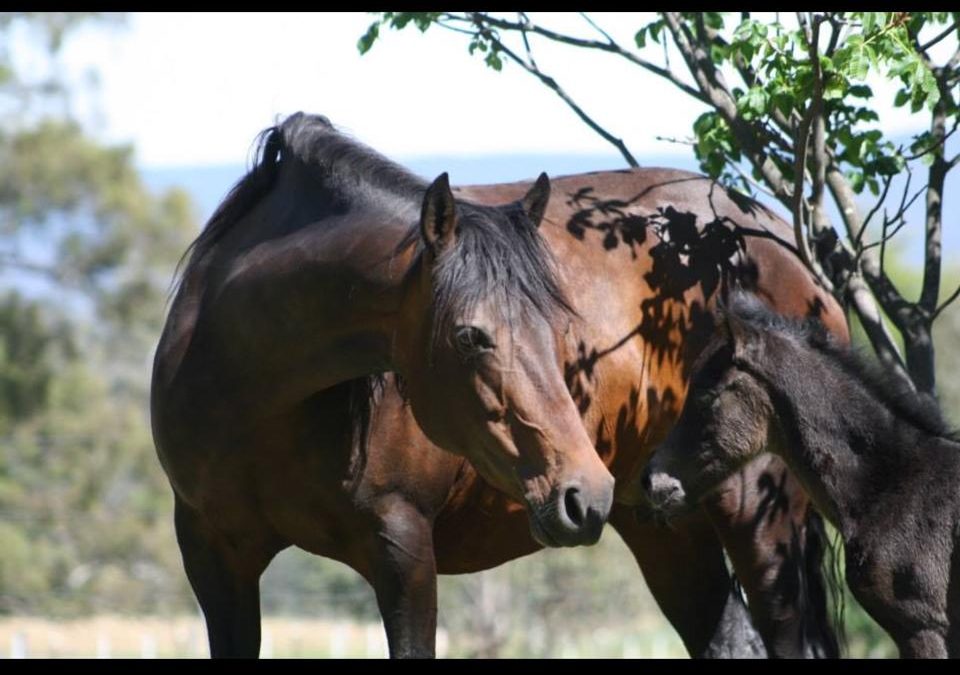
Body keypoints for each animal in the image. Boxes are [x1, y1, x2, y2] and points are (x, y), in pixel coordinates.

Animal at [154, 113, 852, 656]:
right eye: (470, 337)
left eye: (560, 328)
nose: (584, 493)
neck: (253, 395)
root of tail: (780, 241)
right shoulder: (212, 556)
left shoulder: (403, 549)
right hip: (665, 525)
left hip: (761, 518)